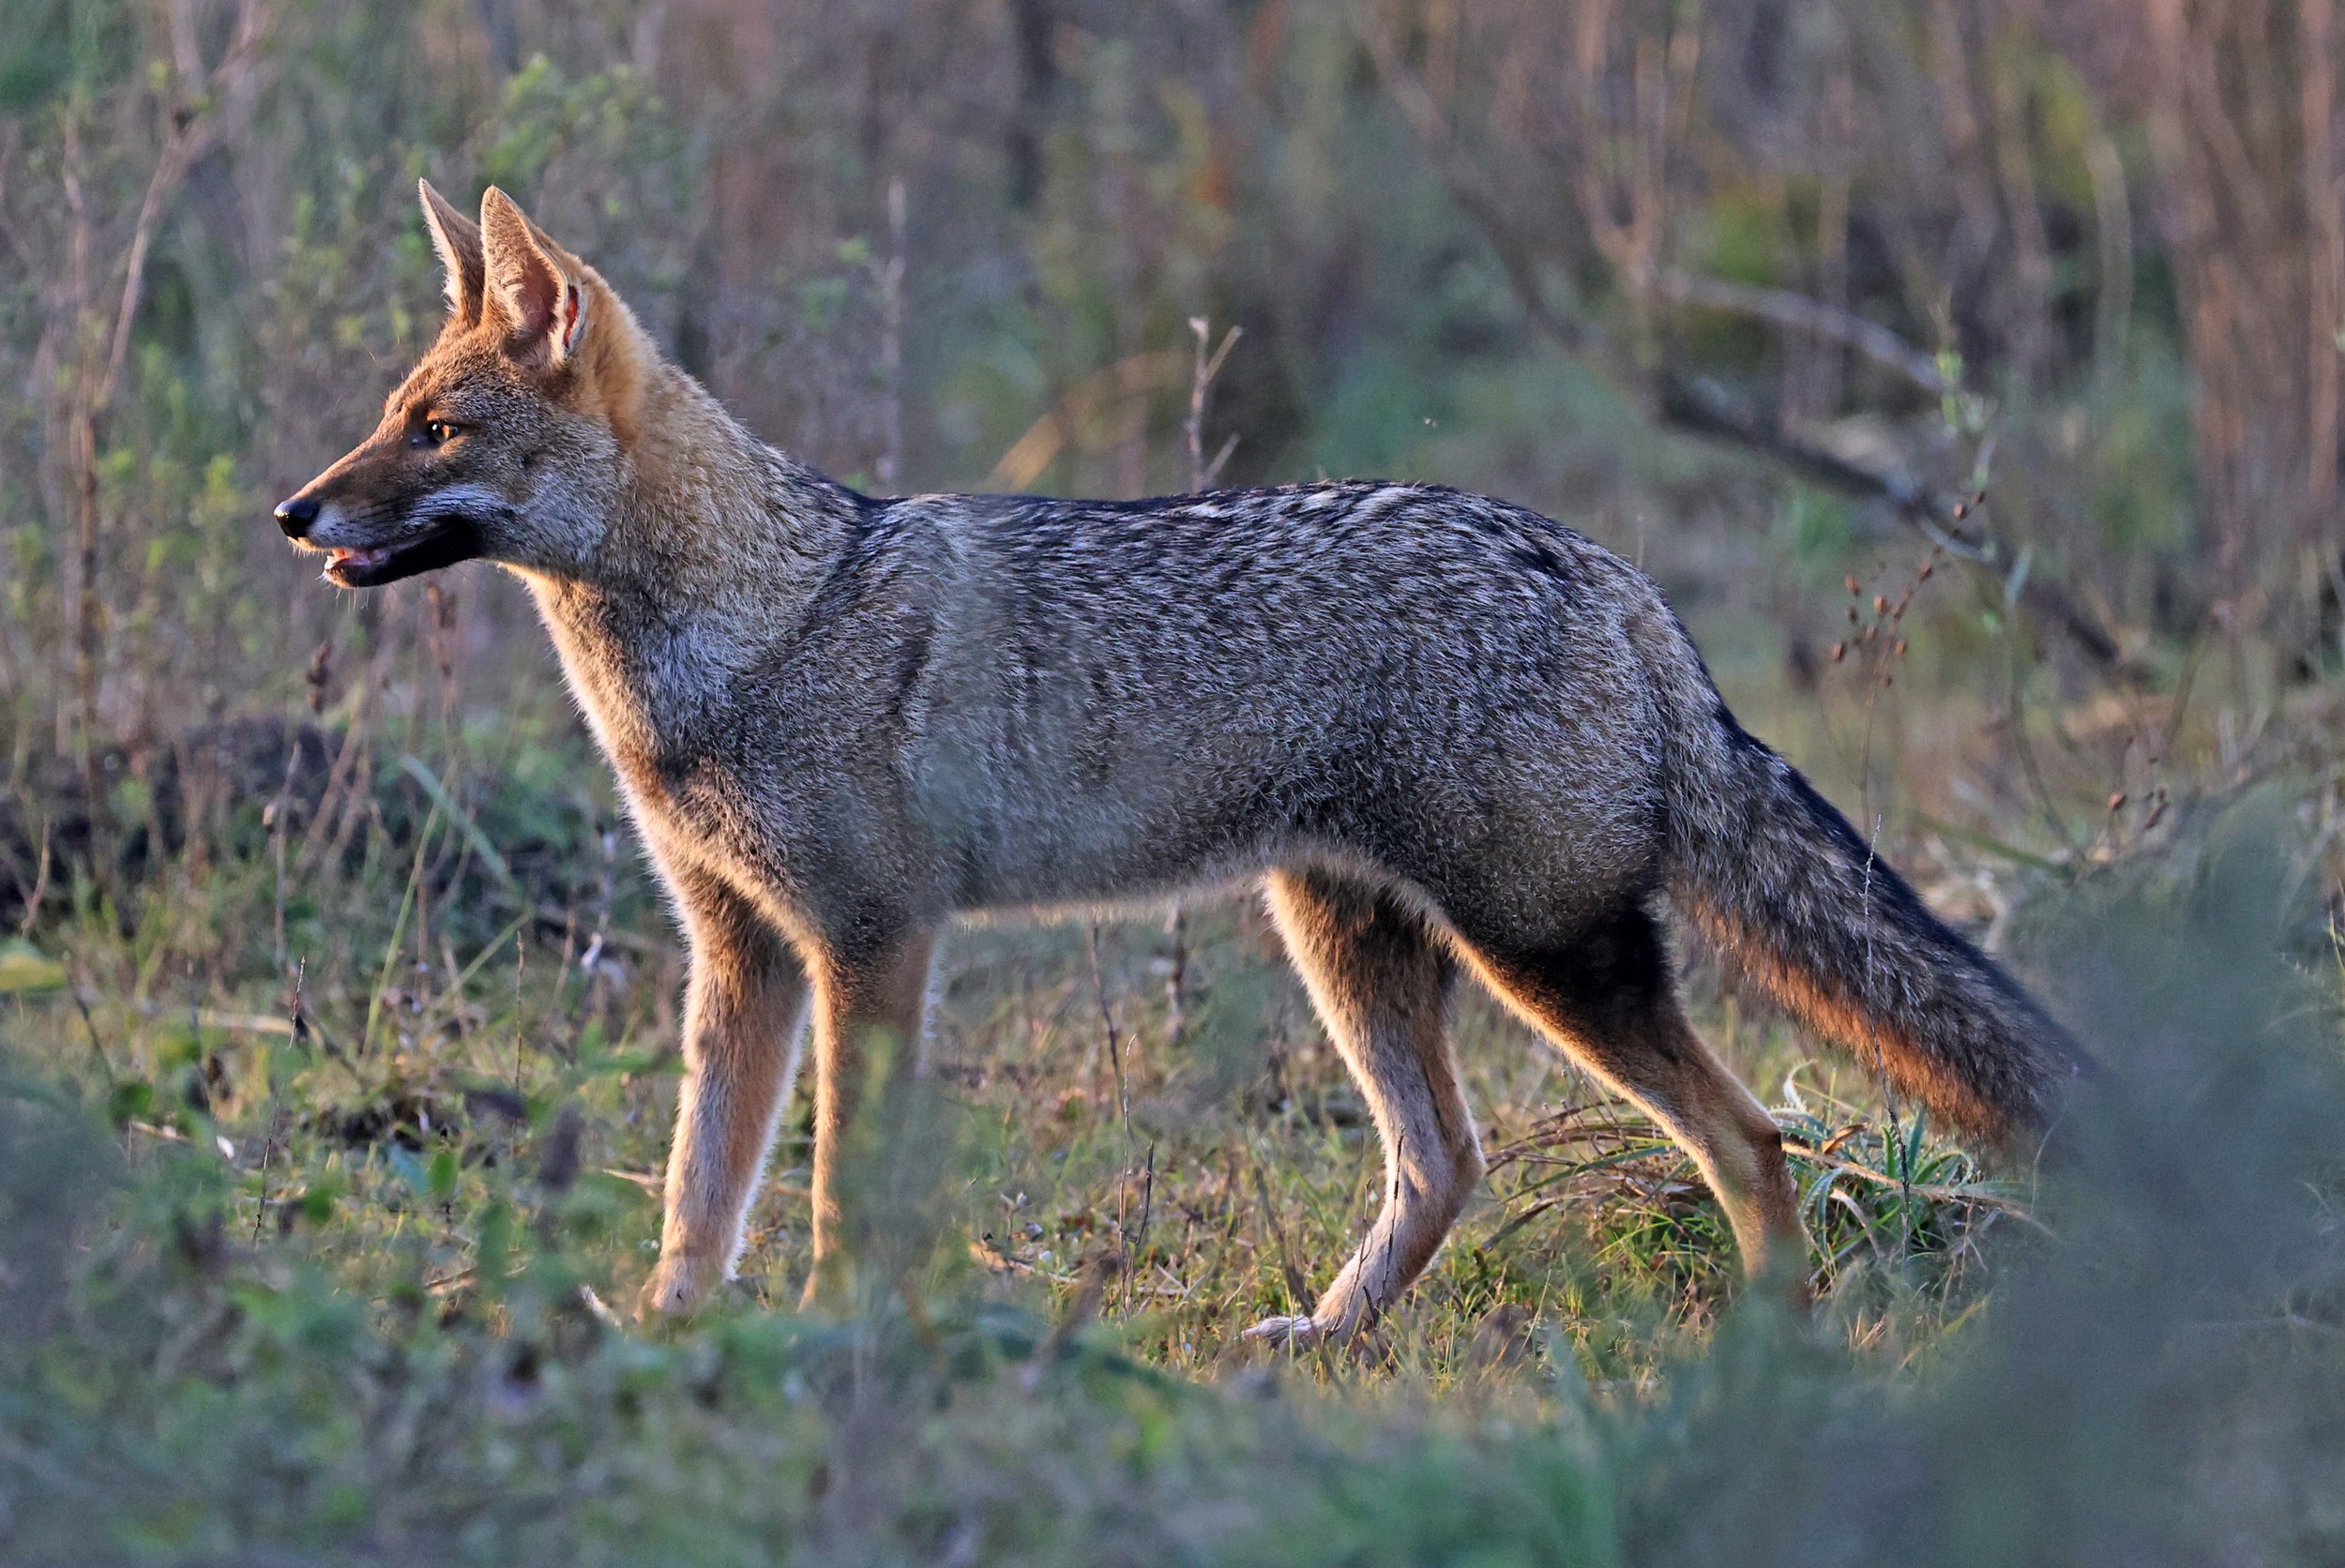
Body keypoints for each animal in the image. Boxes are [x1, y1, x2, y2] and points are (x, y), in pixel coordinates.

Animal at [276, 183, 2087, 1340]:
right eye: (391, 413)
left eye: (435, 430)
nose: (295, 512)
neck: (755, 623)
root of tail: (1610, 572)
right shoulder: (740, 954)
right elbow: (691, 1193)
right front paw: (671, 1336)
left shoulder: (870, 944)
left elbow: (837, 1189)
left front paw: (831, 1338)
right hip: (1348, 940)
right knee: (1446, 1164)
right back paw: (1325, 1342)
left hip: (1546, 956)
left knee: (1750, 1143)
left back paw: (1768, 1355)